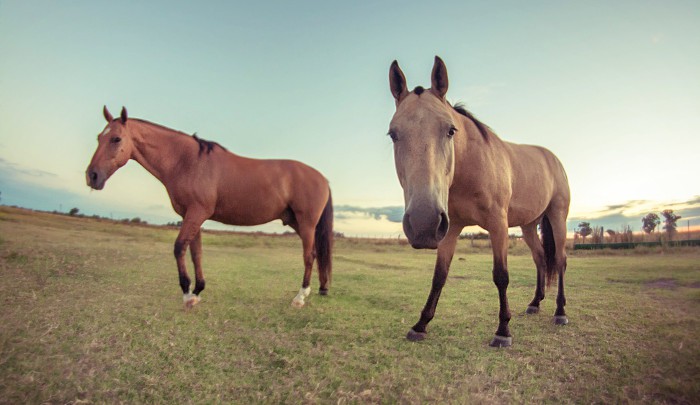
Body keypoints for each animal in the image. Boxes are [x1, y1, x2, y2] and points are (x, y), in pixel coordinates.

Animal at [86, 105, 332, 308]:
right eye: (99, 137)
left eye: (116, 139)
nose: (92, 176)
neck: (188, 161)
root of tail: (322, 178)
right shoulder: (192, 215)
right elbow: (196, 252)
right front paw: (197, 291)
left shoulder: (197, 213)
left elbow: (179, 247)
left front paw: (187, 294)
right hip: (296, 222)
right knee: (316, 253)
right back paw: (321, 289)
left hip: (306, 223)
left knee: (308, 255)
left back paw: (299, 297)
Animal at [388, 56, 568, 348]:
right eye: (393, 134)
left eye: (450, 130)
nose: (423, 223)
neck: (472, 166)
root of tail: (552, 158)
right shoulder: (449, 228)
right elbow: (439, 276)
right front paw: (421, 324)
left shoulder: (498, 225)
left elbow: (501, 276)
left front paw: (503, 331)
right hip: (529, 226)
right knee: (541, 258)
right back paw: (535, 303)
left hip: (557, 217)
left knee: (560, 260)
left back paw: (560, 312)